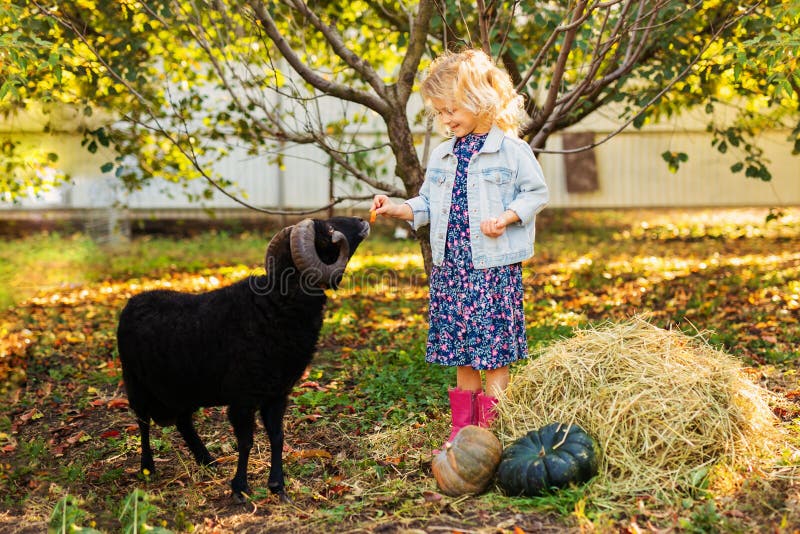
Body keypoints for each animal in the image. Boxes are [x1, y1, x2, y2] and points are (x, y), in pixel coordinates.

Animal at [116, 217, 372, 502]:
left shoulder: (276, 394)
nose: (362, 221)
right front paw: (240, 487)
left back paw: (207, 461)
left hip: (182, 390)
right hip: (136, 385)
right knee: (143, 423)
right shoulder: (242, 398)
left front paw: (277, 486)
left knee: (183, 422)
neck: (276, 302)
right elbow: (246, 441)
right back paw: (147, 467)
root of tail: (132, 301)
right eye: (327, 231)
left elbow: (277, 436)